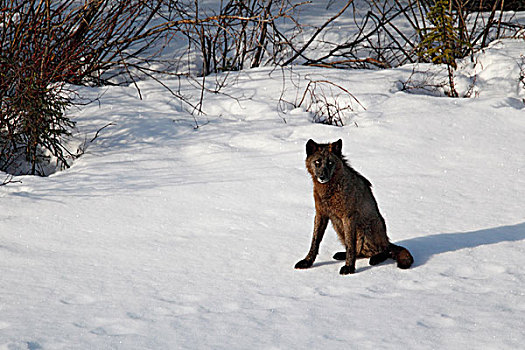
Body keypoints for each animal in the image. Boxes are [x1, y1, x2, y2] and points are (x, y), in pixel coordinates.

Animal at [294, 138, 414, 274]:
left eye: (330, 163)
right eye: (317, 162)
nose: (322, 177)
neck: (329, 191)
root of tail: (387, 240)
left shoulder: (348, 217)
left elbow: (350, 245)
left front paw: (349, 267)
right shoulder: (321, 215)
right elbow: (315, 242)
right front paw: (307, 262)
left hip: (365, 229)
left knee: (383, 250)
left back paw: (375, 258)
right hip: (337, 226)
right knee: (360, 251)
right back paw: (342, 254)